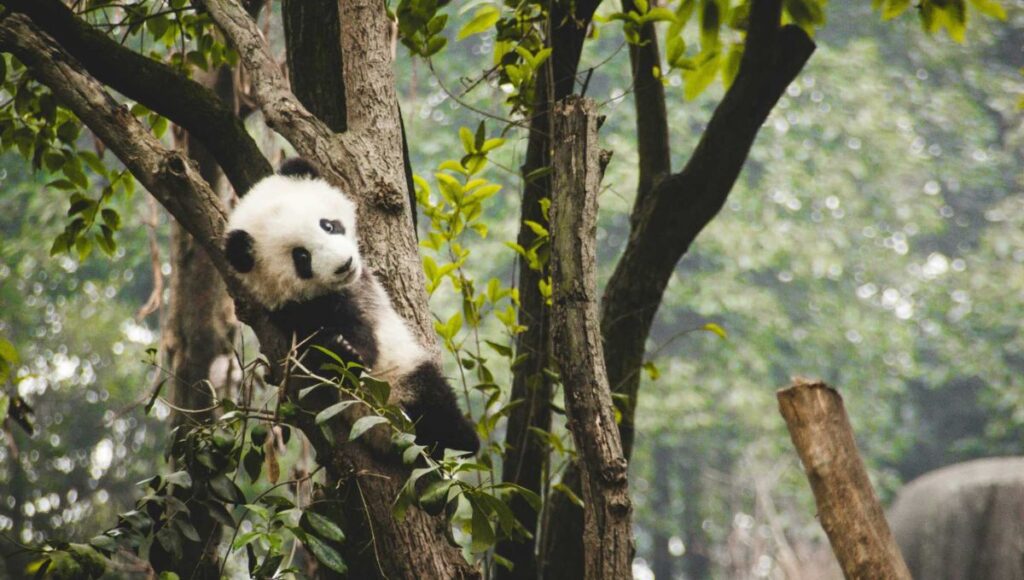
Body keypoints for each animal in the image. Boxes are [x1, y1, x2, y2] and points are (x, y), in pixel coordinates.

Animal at [223, 158, 479, 456]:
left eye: (327, 225)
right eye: (301, 256)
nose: (344, 265)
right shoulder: (294, 311)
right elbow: (334, 347)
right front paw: (342, 349)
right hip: (401, 381)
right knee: (436, 401)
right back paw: (464, 438)